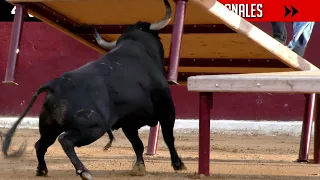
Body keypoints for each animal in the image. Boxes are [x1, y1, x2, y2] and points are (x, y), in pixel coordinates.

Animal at [1, 0, 185, 179]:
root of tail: (55, 84)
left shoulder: (128, 122)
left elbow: (137, 144)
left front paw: (139, 167)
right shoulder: (167, 109)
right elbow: (168, 137)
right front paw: (178, 164)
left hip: (49, 126)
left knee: (41, 144)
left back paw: (42, 170)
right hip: (92, 126)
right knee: (65, 140)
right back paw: (84, 171)